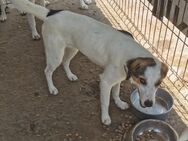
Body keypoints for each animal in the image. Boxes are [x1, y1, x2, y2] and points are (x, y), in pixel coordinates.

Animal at [12, 0, 169, 125]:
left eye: (158, 84)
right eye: (142, 80)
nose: (149, 104)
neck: (131, 53)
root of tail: (51, 13)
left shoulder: (118, 79)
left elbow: (116, 93)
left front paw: (119, 103)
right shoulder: (105, 81)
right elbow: (105, 102)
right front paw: (105, 118)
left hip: (73, 49)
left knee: (65, 63)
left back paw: (70, 76)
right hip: (55, 54)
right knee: (47, 71)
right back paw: (52, 88)